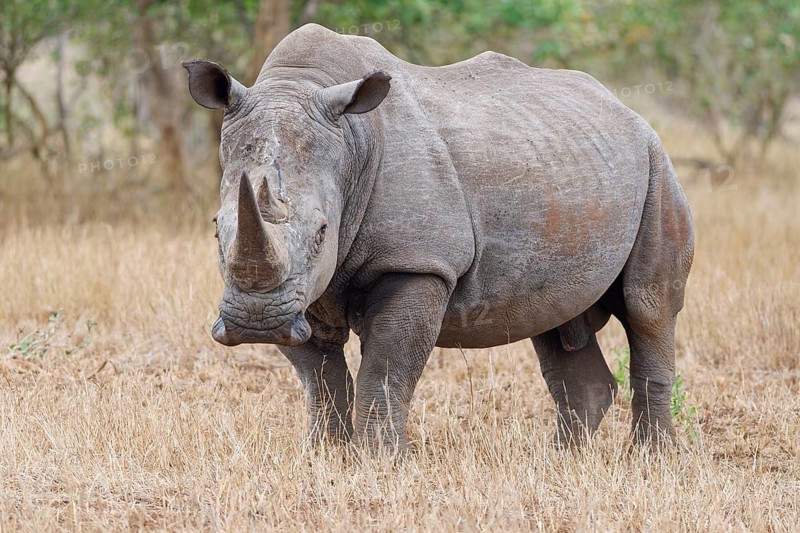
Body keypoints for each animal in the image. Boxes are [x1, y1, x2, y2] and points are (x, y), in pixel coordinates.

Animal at [183, 24, 694, 451]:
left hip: (657, 164)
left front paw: (380, 463)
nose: (256, 323)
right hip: (568, 163)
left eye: (323, 232)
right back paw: (561, 461)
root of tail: (625, 108)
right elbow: (320, 378)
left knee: (647, 307)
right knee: (555, 320)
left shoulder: (417, 262)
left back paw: (650, 460)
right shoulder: (300, 291)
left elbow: (386, 371)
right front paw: (323, 458)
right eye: (216, 227)